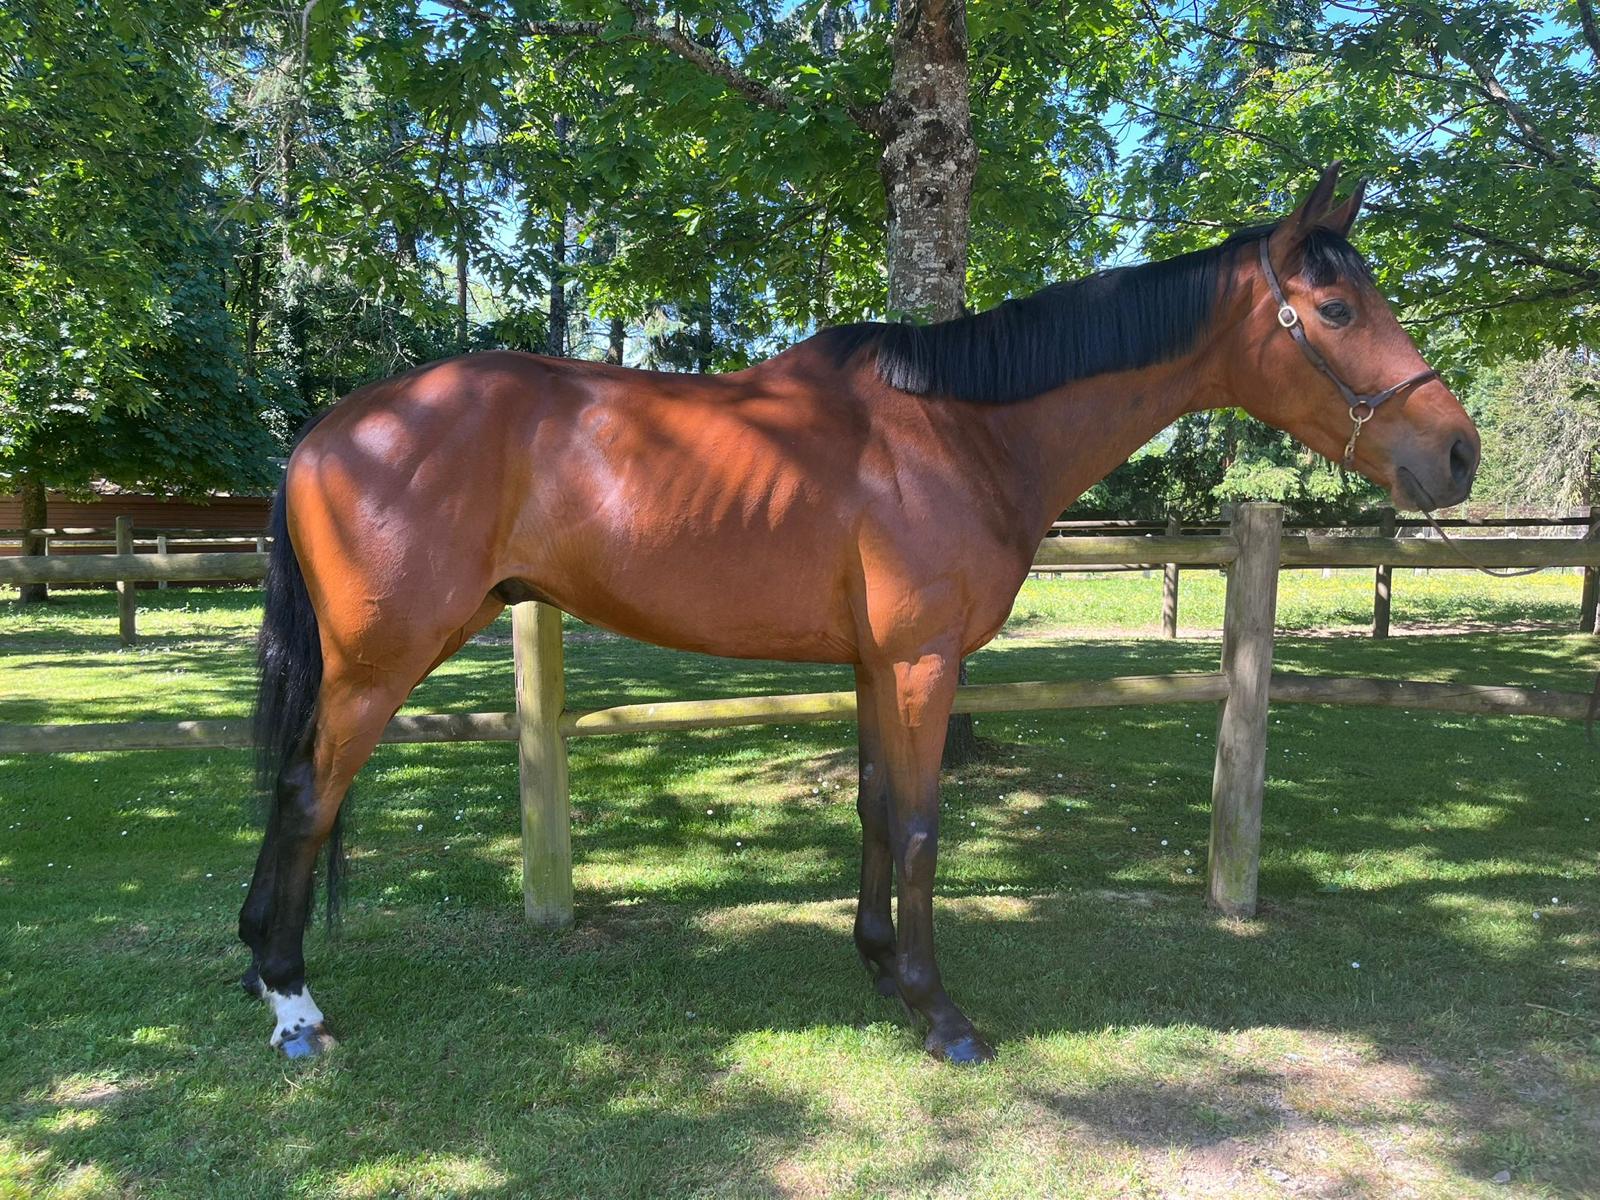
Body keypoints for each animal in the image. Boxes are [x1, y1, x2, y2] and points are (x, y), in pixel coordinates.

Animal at [243, 164, 1479, 1062]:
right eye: (1335, 307)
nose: (1458, 453)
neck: (966, 429)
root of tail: (328, 431)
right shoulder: (925, 662)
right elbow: (924, 824)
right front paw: (941, 1014)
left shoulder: (878, 665)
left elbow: (878, 811)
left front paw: (883, 968)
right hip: (377, 662)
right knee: (307, 794)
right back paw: (294, 1005)